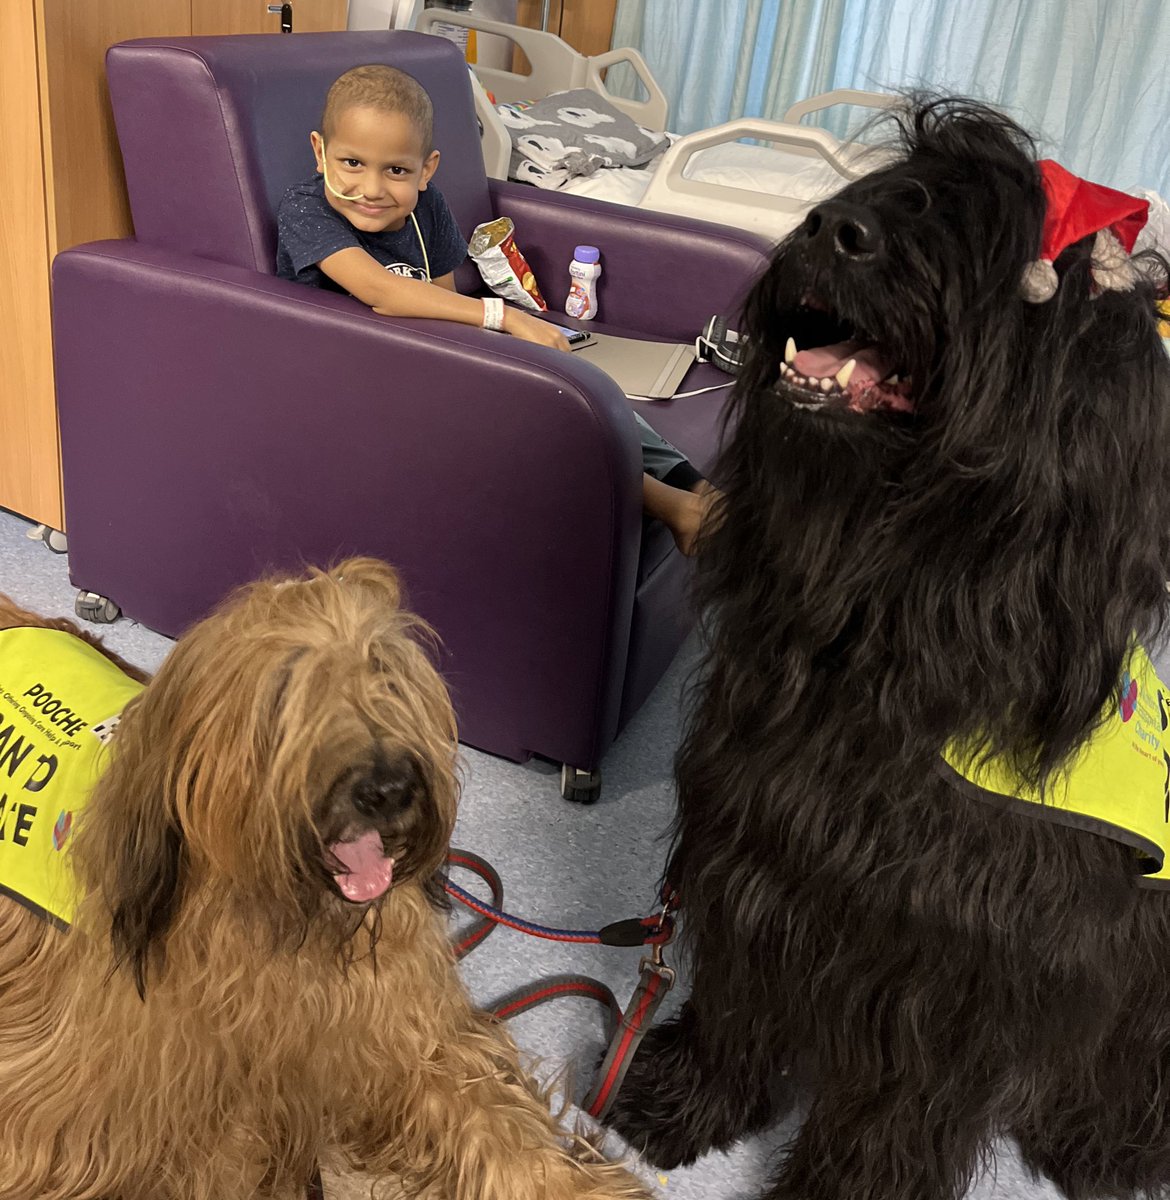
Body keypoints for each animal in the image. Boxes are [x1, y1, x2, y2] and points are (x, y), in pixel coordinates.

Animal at [0, 561, 648, 1200]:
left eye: (383, 670)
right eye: (286, 688)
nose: (389, 789)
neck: (299, 929)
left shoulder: (400, 1031)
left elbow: (493, 1115)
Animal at [609, 100, 1170, 1200]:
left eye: (1011, 264)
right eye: (901, 190)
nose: (833, 228)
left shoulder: (947, 970)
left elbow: (888, 1116)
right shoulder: (757, 851)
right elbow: (736, 1002)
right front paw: (681, 1104)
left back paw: (1098, 1148)